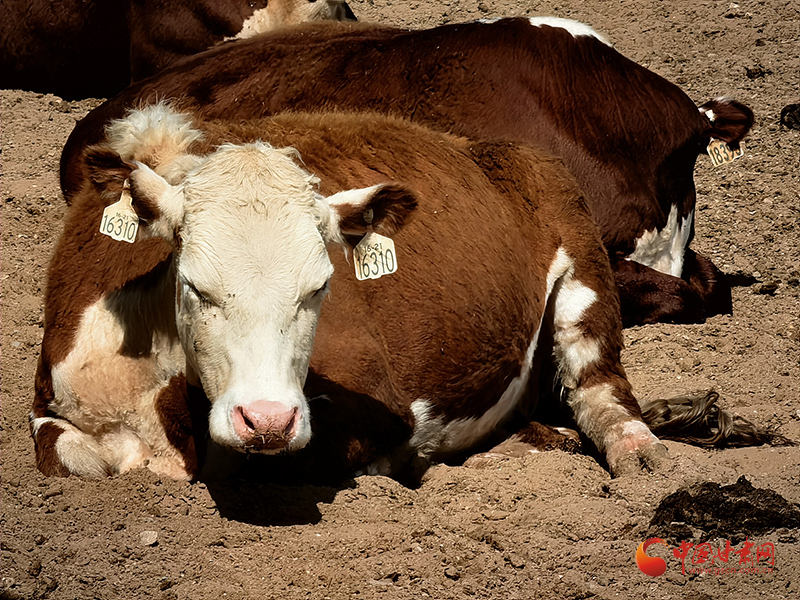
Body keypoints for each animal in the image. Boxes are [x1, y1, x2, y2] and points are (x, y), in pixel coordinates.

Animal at [32, 104, 776, 482]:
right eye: (194, 283)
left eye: (321, 287)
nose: (268, 421)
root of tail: (501, 149)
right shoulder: (51, 402)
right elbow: (69, 453)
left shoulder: (371, 406)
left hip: (586, 271)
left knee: (601, 393)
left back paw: (643, 443)